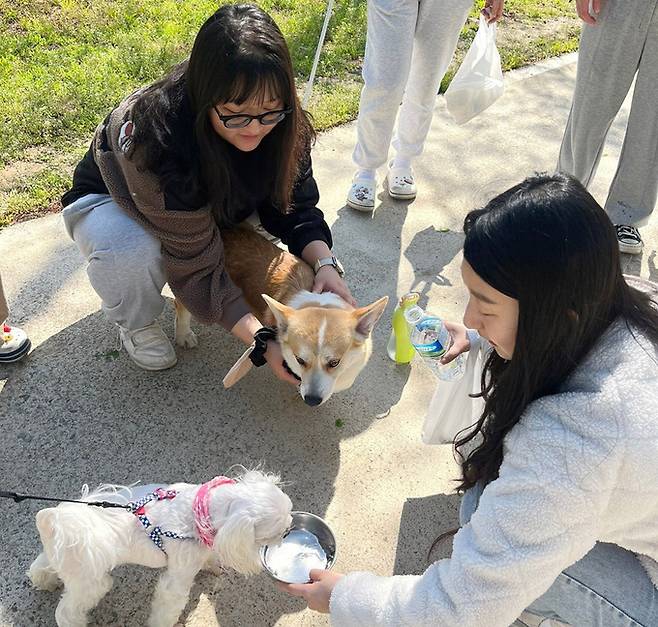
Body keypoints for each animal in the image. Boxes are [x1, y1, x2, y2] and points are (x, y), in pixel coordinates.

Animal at [28, 472, 290, 627]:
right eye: (275, 532)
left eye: (290, 514)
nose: (289, 529)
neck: (200, 512)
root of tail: (57, 521)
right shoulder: (177, 577)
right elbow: (168, 604)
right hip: (89, 582)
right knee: (66, 612)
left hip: (63, 557)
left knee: (43, 564)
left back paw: (43, 580)